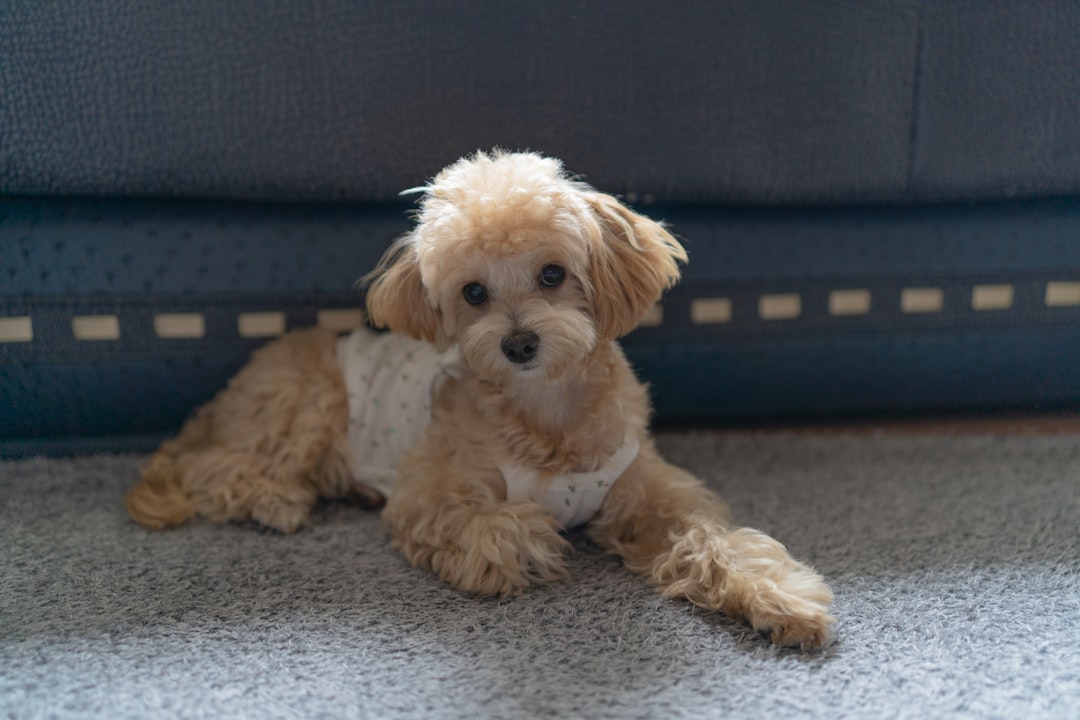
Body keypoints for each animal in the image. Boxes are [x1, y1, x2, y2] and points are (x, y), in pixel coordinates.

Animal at [126, 148, 833, 651]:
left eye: (553, 274)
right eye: (473, 292)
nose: (518, 343)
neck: (548, 416)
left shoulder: (656, 494)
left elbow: (722, 541)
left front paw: (779, 598)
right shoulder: (426, 493)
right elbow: (492, 525)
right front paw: (530, 535)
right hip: (305, 408)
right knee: (213, 468)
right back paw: (278, 500)